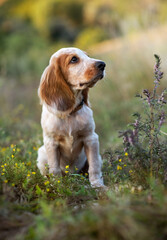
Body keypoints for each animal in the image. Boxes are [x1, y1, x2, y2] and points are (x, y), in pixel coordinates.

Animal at [36, 47, 105, 188]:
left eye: (87, 56)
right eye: (74, 59)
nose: (102, 64)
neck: (70, 112)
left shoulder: (91, 138)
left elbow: (94, 166)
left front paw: (97, 185)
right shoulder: (51, 142)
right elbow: (54, 169)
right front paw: (57, 186)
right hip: (41, 154)